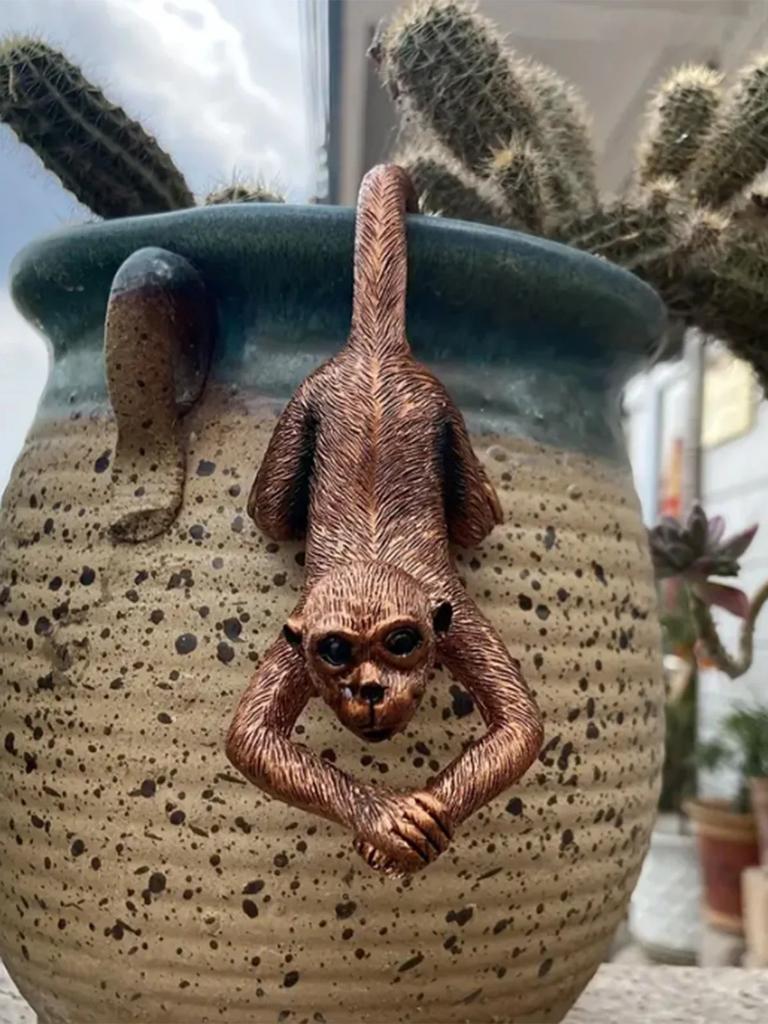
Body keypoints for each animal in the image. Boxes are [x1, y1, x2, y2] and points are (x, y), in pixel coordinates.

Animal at [226, 164, 544, 877]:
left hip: (430, 402)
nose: (369, 689)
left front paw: (423, 814)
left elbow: (521, 726)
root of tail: (373, 350)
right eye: (336, 652)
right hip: (314, 400)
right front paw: (384, 819)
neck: (373, 565)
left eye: (402, 643)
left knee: (476, 518)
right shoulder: (304, 626)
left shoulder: (450, 613)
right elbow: (250, 739)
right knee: (270, 512)